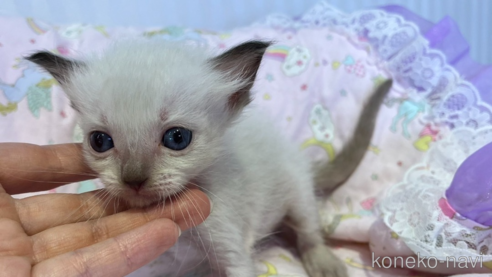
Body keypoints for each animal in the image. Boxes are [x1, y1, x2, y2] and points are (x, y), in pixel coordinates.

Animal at [28, 39, 394, 276]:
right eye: (100, 141)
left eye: (177, 138)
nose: (133, 180)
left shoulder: (231, 253)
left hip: (298, 193)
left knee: (308, 231)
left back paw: (324, 264)